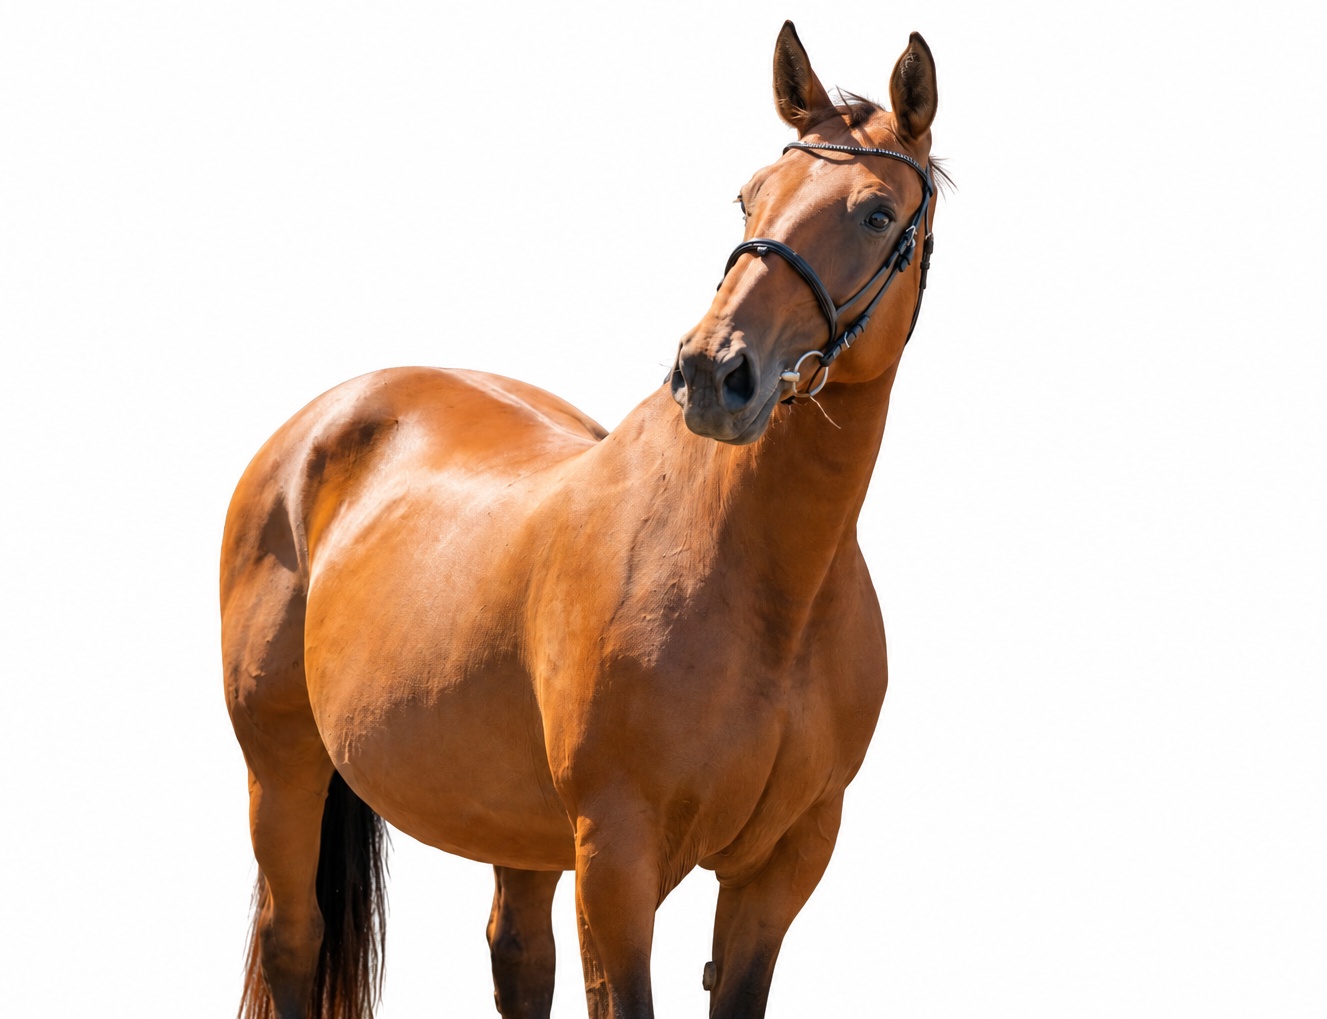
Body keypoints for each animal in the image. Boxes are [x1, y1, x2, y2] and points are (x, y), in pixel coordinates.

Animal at [221, 21, 941, 1019]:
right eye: (749, 194)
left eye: (876, 214)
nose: (714, 372)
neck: (766, 593)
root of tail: (321, 422)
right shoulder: (616, 860)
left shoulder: (782, 866)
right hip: (281, 766)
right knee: (293, 939)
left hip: (512, 827)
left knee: (516, 958)